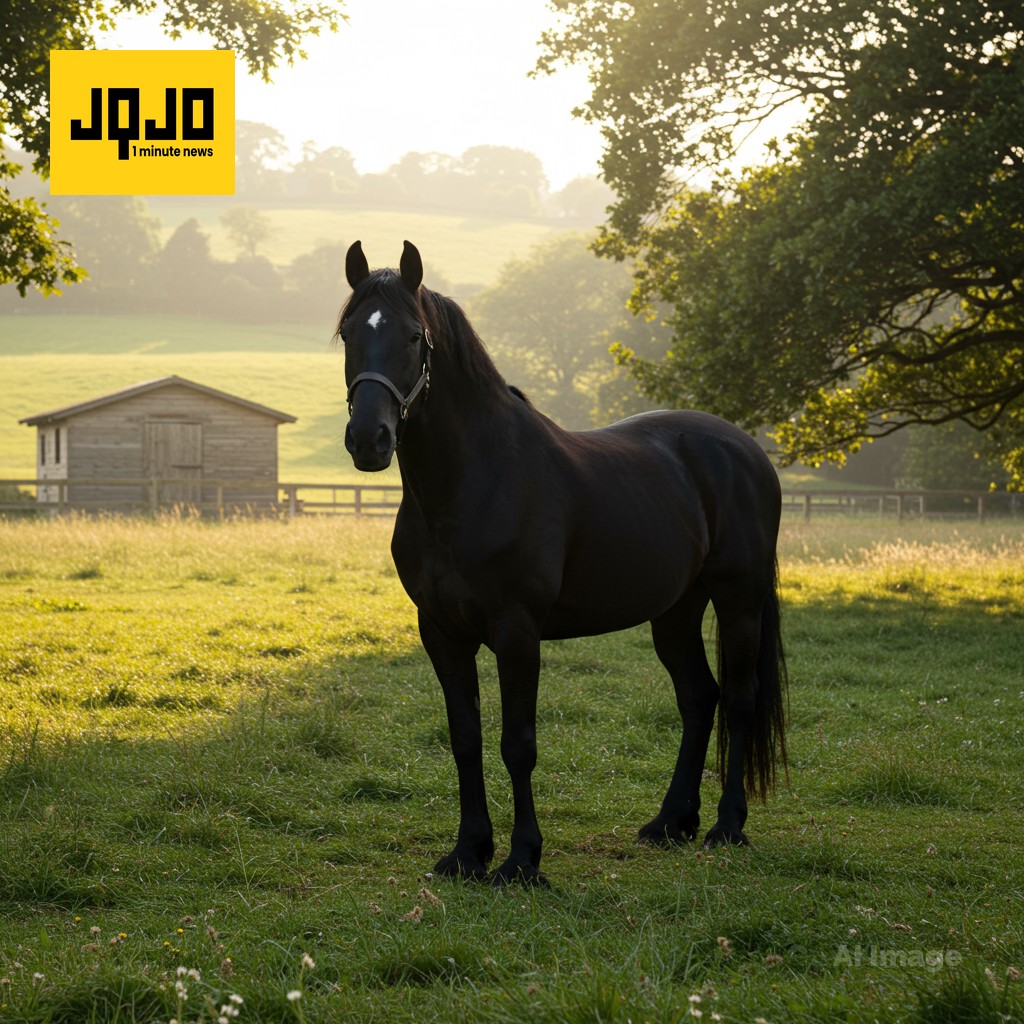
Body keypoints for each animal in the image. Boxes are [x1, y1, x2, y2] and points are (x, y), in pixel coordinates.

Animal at [339, 240, 787, 885]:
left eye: (414, 336)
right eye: (348, 332)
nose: (369, 439)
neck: (473, 482)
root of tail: (747, 449)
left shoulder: (517, 631)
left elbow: (518, 744)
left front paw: (522, 860)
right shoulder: (441, 631)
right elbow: (465, 738)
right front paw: (468, 853)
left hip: (738, 600)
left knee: (740, 698)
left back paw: (726, 828)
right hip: (676, 610)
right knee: (699, 697)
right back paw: (670, 823)